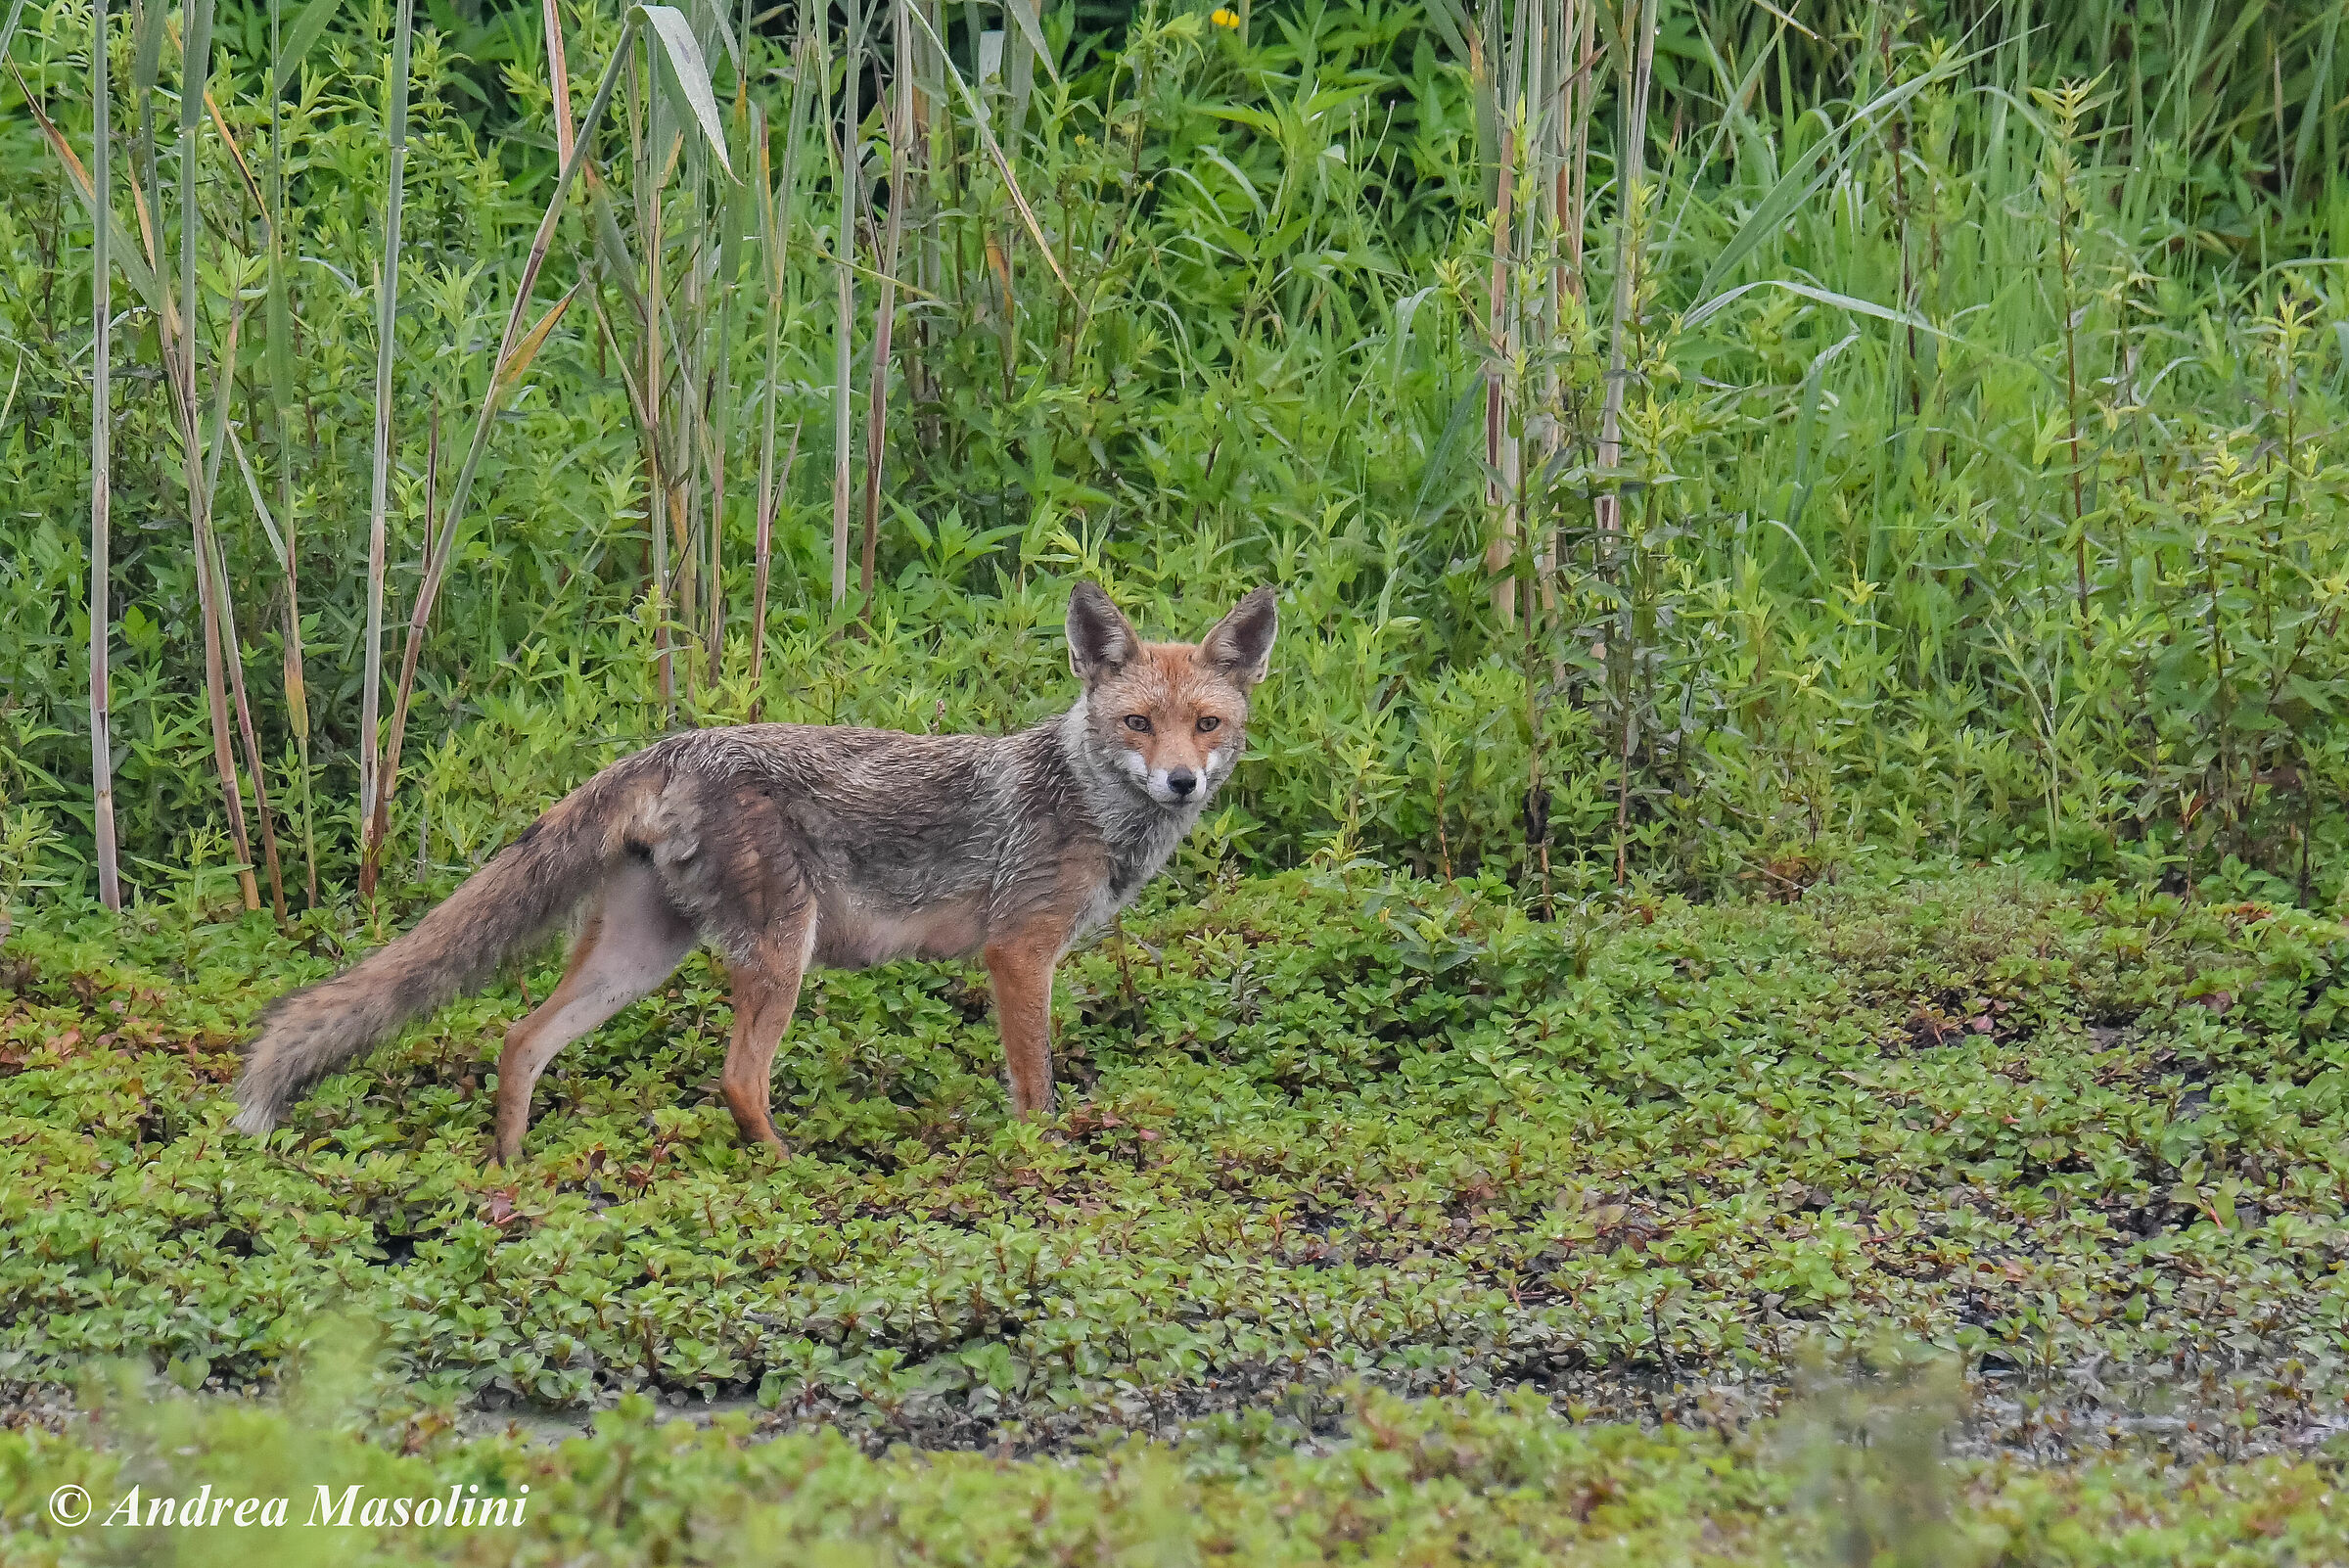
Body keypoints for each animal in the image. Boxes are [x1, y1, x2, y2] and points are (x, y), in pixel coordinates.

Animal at [230, 581, 1277, 1164]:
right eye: (1138, 723)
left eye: (1207, 725)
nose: (1182, 781)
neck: (1090, 802)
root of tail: (672, 743)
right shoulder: (1018, 955)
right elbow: (1036, 1092)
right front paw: (1041, 1165)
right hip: (782, 950)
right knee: (737, 1082)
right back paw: (789, 1172)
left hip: (641, 959)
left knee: (520, 1041)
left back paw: (510, 1173)